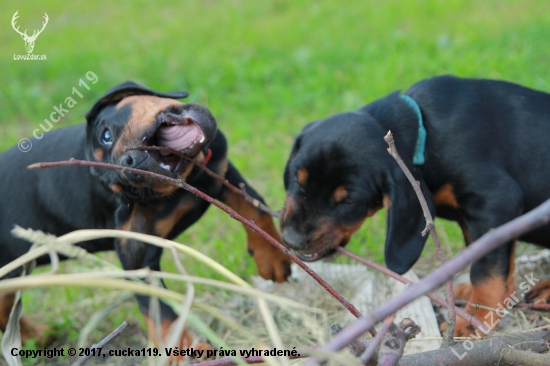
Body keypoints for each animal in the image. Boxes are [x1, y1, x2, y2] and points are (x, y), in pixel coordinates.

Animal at [0, 81, 292, 350]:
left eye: (106, 135)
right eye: (127, 190)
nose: (129, 166)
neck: (189, 180)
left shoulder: (220, 171)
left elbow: (254, 207)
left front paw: (272, 259)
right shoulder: (141, 260)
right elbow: (160, 311)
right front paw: (183, 352)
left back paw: (34, 336)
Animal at [282, 75, 550, 338]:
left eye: (348, 201)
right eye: (297, 178)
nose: (291, 240)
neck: (426, 133)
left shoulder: (496, 202)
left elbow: (486, 270)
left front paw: (477, 318)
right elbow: (484, 254)